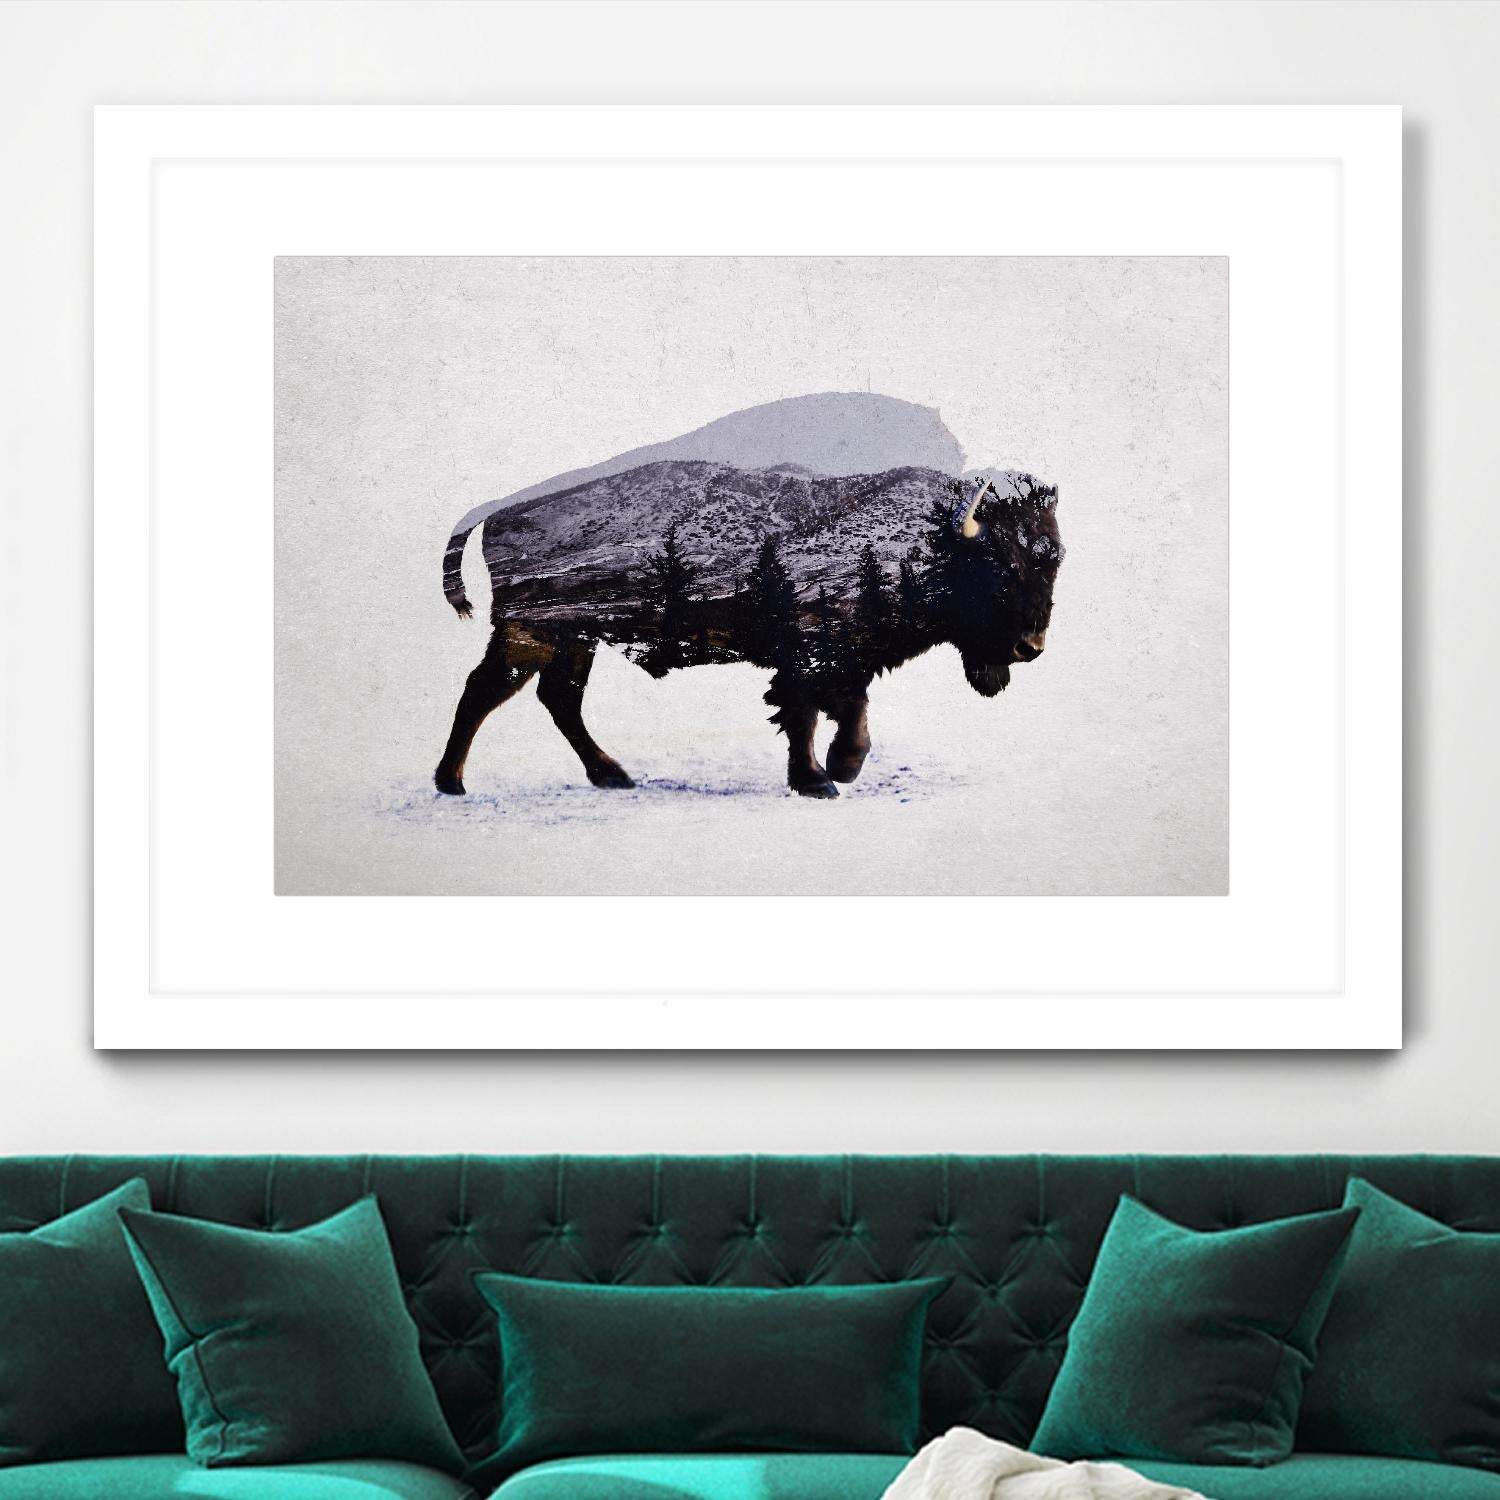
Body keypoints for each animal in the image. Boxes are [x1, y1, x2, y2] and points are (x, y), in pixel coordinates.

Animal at [435, 460, 1062, 799]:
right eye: (1001, 568)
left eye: (1053, 562)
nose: (1029, 648)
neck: (930, 537)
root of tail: (499, 509)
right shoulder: (812, 653)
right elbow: (809, 712)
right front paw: (823, 778)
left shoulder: (843, 660)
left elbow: (845, 710)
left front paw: (838, 769)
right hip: (529, 634)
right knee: (486, 690)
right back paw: (452, 783)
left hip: (573, 638)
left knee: (558, 698)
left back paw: (612, 775)